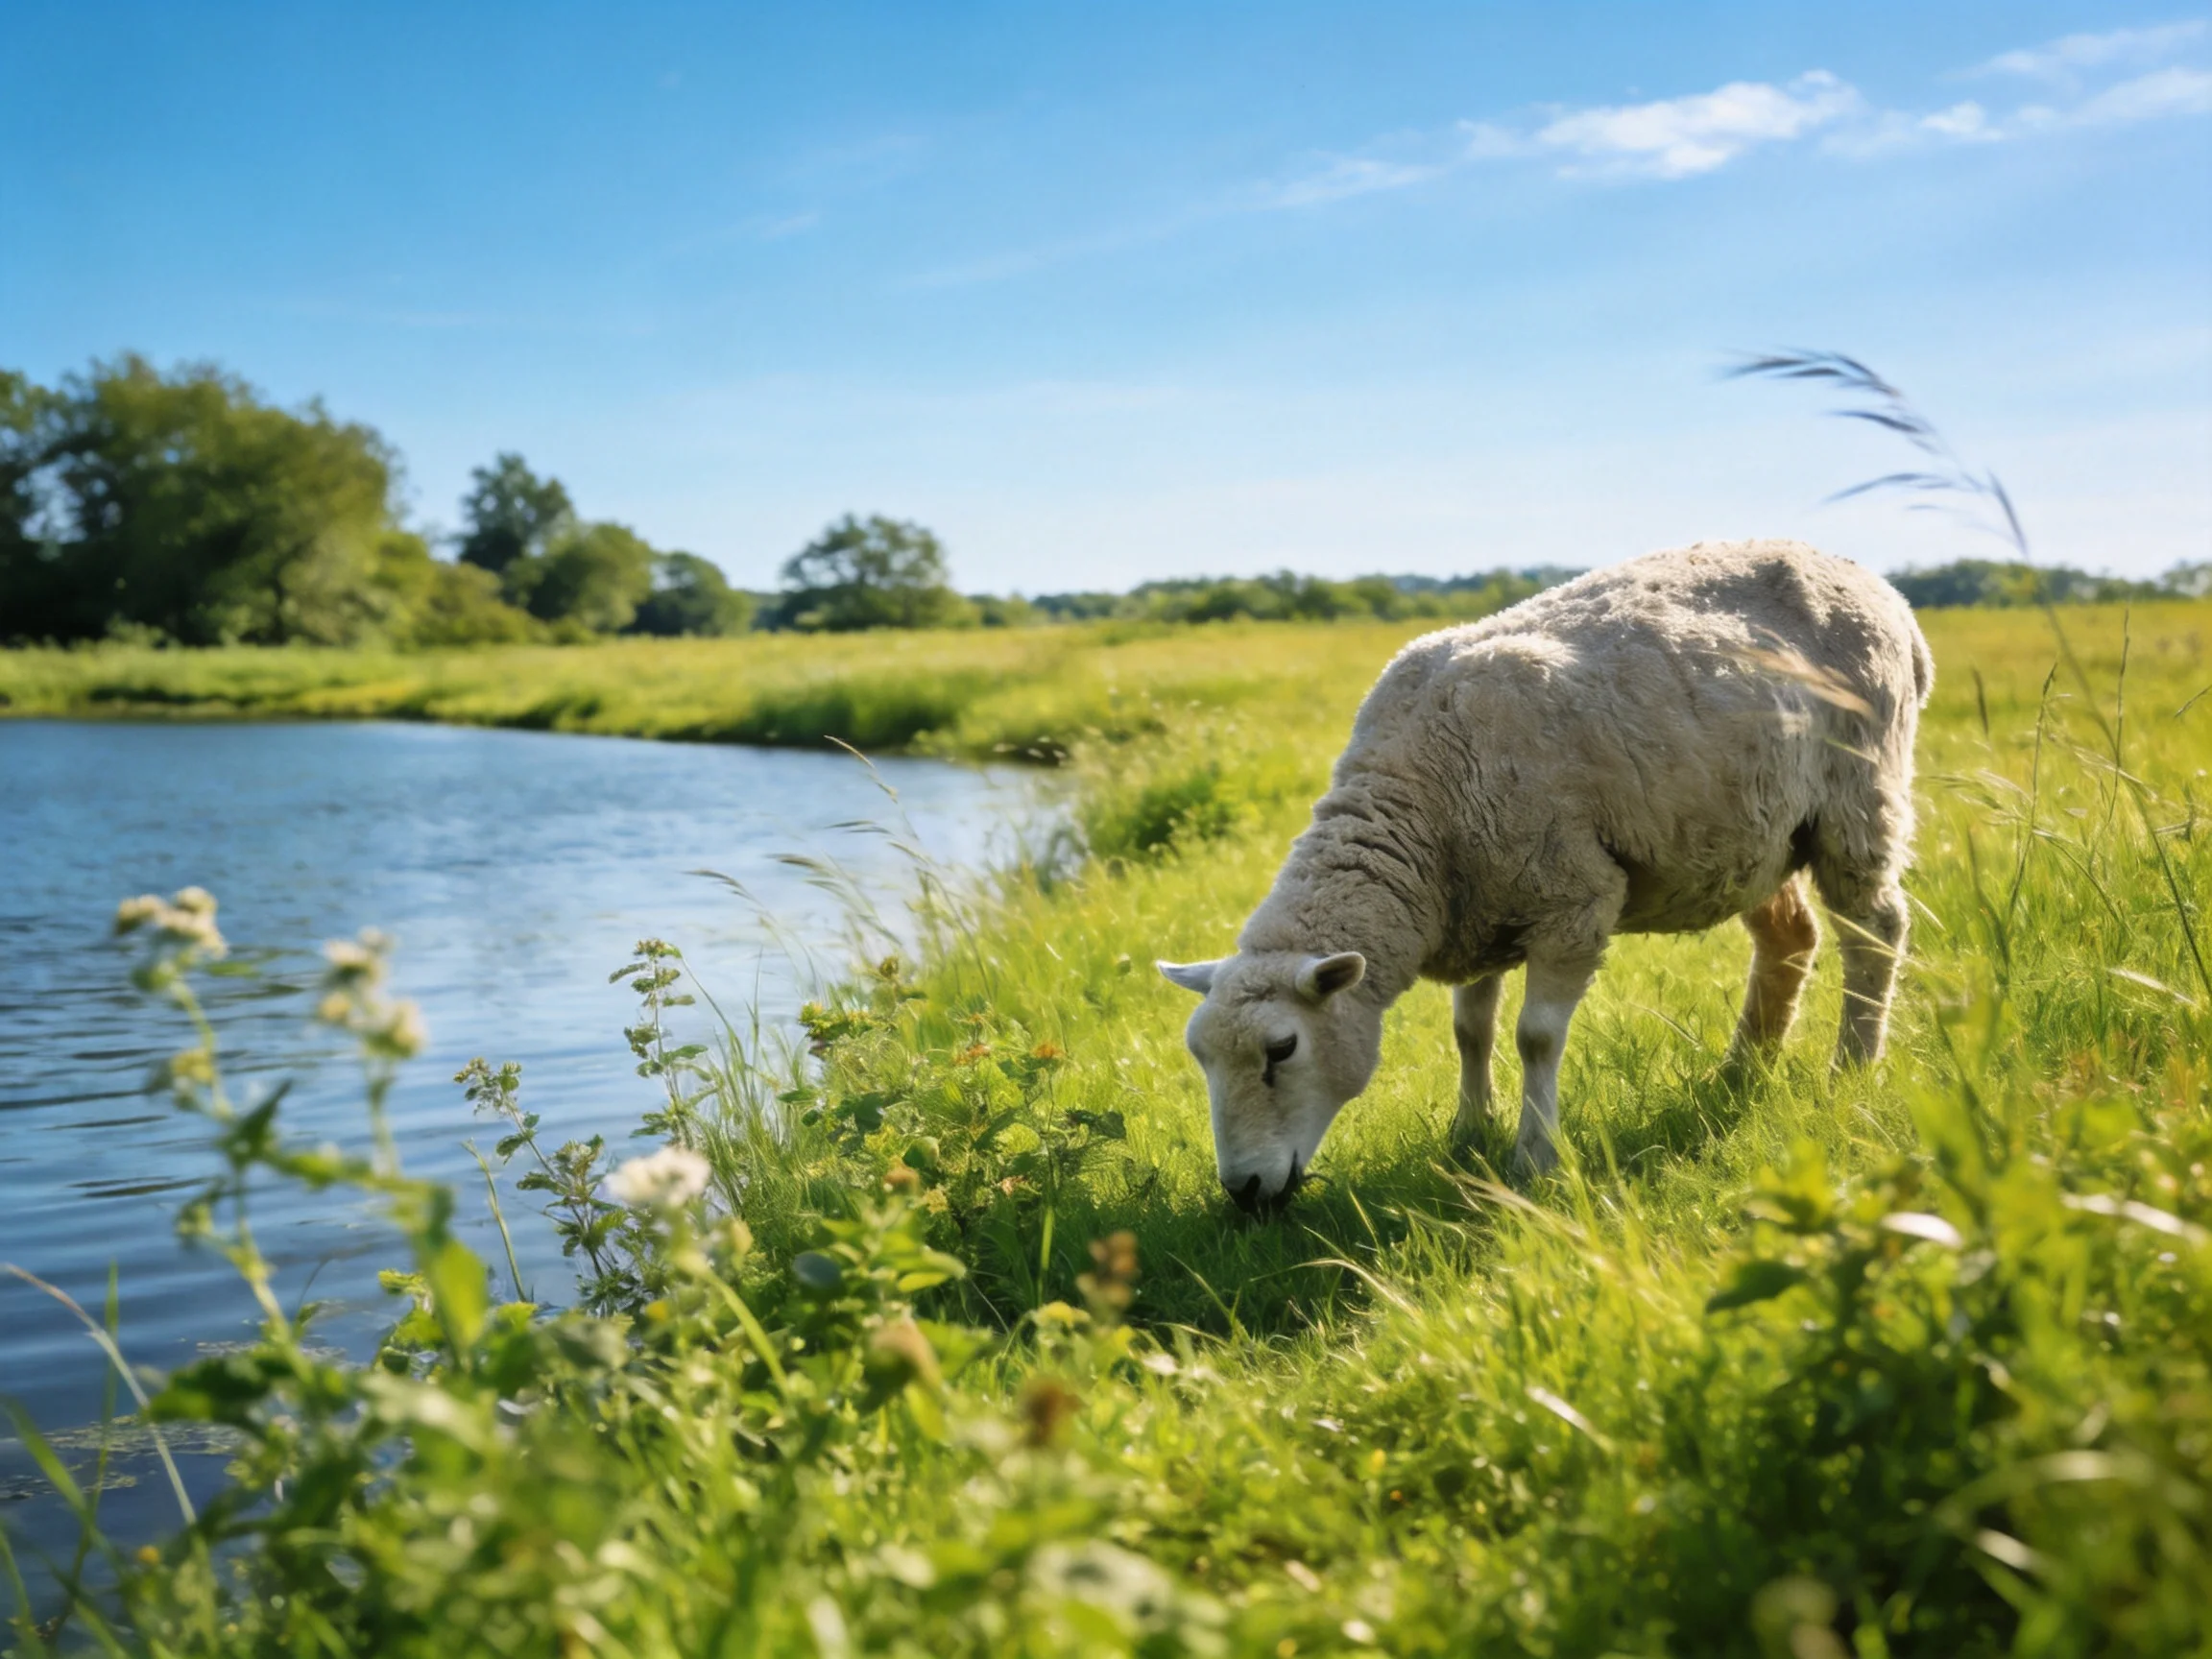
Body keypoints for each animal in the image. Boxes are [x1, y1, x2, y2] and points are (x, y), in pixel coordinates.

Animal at [1159, 539, 1932, 1210]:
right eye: (1201, 1056)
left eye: (1281, 1050)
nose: (1244, 1192)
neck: (1420, 803)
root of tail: (1879, 588)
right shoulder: (1476, 906)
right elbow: (1470, 1030)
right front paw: (1470, 1129)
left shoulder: (1573, 899)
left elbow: (1535, 1037)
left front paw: (1535, 1158)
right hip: (1751, 835)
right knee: (1790, 938)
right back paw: (1742, 1067)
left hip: (1857, 794)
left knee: (1875, 930)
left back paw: (1852, 1068)